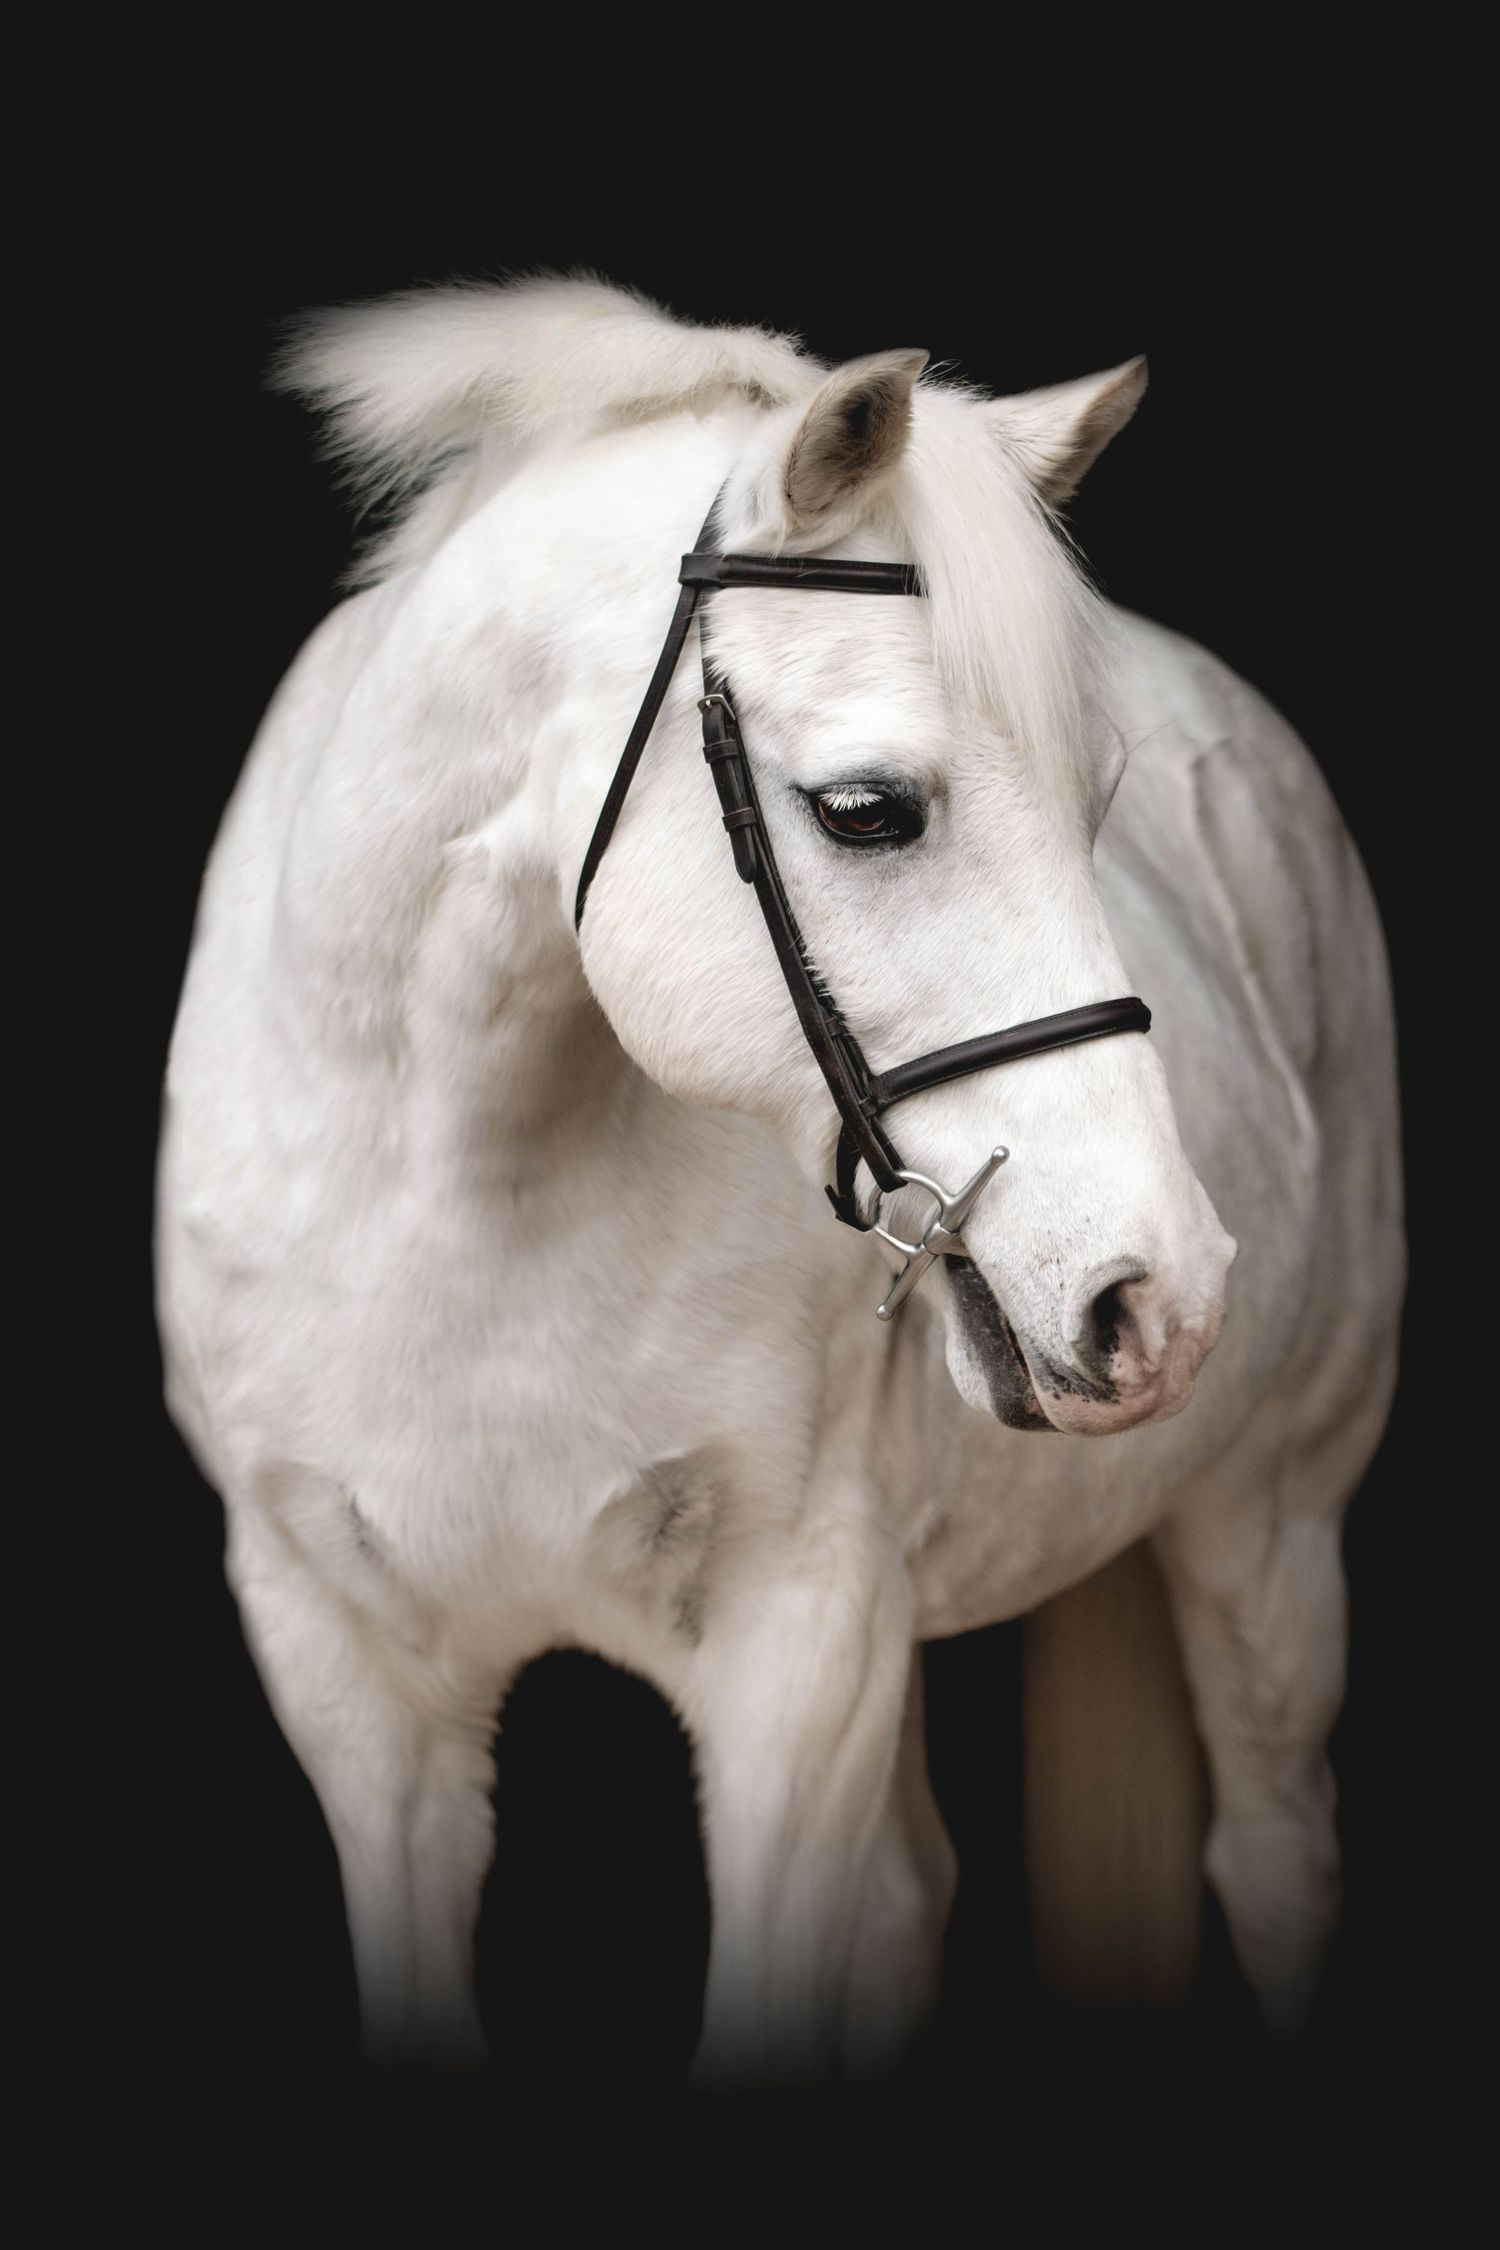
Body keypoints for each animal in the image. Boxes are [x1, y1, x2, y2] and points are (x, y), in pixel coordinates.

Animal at [155, 277, 1403, 2082]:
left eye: (1099, 801)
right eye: (868, 811)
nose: (1160, 1294)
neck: (454, 1210)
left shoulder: (799, 1658)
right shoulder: (352, 1682)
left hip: (1272, 1527)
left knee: (1275, 1851)